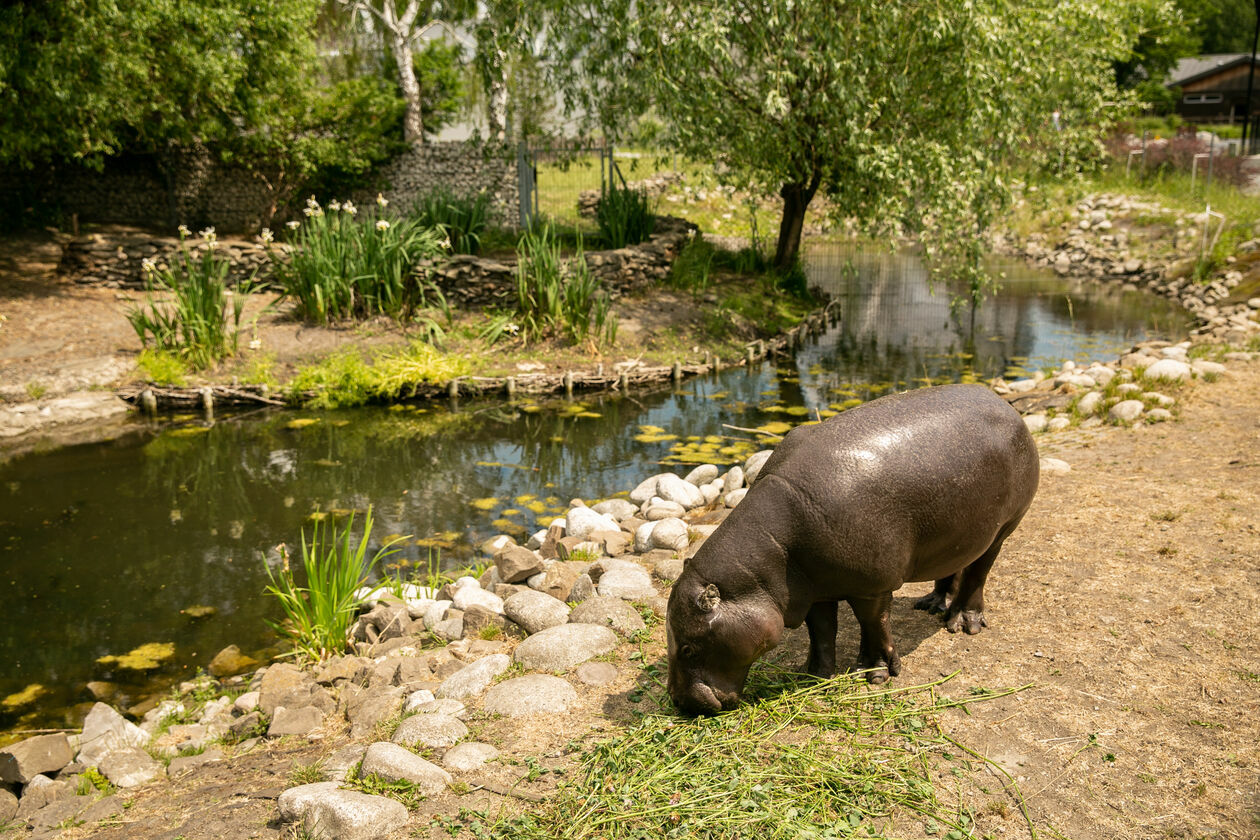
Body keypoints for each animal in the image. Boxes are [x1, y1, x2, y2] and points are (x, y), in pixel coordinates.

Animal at [665, 385, 1038, 715]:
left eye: (688, 647)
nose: (678, 702)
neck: (766, 559)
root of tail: (1005, 405)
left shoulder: (872, 587)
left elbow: (873, 625)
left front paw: (875, 675)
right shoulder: (814, 588)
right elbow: (821, 631)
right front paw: (813, 675)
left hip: (1003, 528)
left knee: (978, 573)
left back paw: (961, 624)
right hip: (957, 533)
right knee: (953, 566)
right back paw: (931, 604)